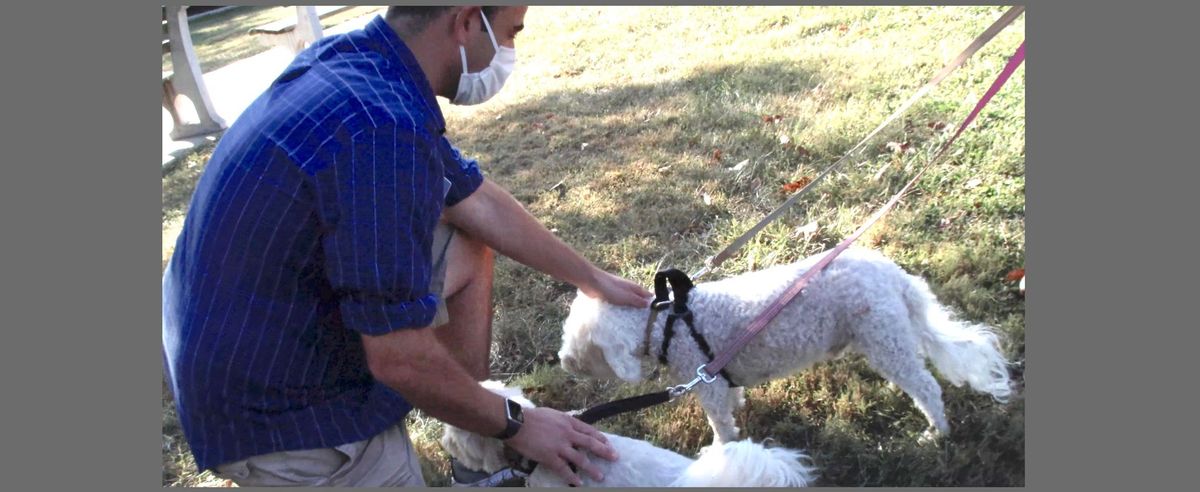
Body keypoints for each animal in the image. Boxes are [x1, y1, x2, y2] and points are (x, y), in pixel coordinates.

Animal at [556, 248, 1008, 444]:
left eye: (583, 348)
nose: (563, 361)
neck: (670, 321)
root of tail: (894, 275)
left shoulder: (706, 383)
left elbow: (721, 424)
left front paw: (723, 452)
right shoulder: (717, 374)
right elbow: (732, 399)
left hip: (885, 339)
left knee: (927, 388)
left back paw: (937, 433)